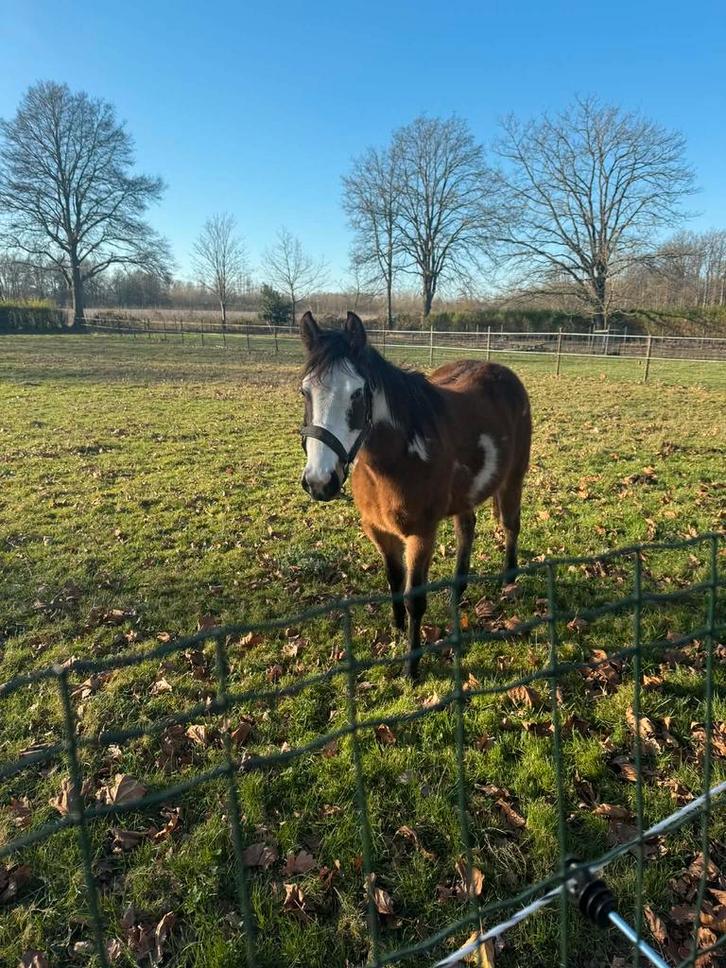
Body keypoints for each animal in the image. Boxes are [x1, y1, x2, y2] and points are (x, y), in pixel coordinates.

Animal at [298, 311, 531, 679]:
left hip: (513, 479)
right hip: (466, 495)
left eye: (358, 393)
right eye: (304, 391)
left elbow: (414, 598)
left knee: (510, 525)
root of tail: (503, 373)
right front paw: (396, 626)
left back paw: (509, 581)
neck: (395, 458)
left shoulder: (421, 534)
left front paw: (413, 664)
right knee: (467, 530)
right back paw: (457, 591)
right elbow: (394, 579)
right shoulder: (378, 530)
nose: (320, 482)